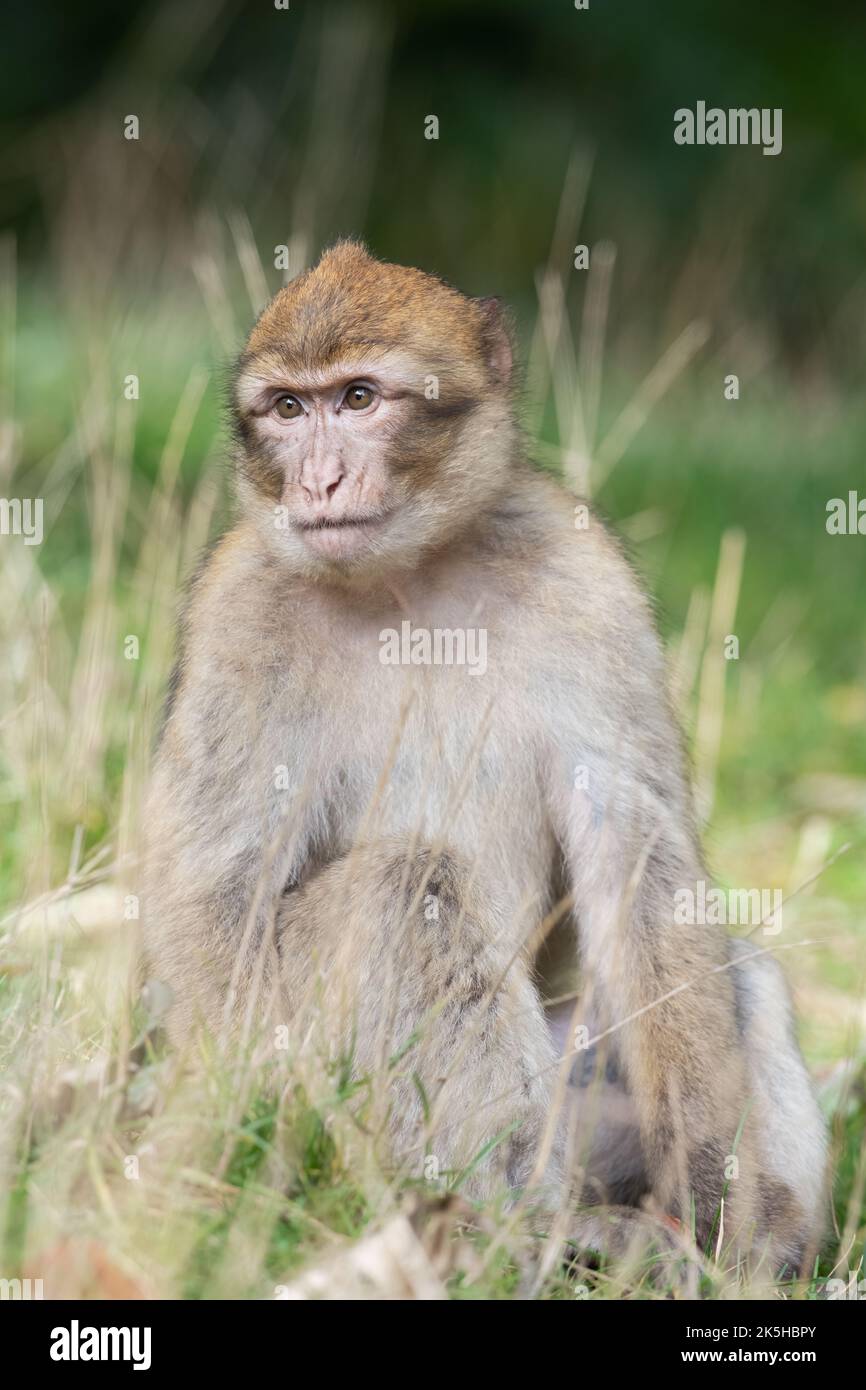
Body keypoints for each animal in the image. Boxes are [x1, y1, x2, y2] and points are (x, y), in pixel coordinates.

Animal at [143, 239, 826, 1273]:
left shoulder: (589, 583)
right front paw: (224, 1161)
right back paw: (515, 1229)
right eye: (288, 409)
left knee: (733, 965)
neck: (408, 576)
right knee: (405, 889)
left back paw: (735, 1240)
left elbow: (640, 859)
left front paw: (719, 1197)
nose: (318, 483)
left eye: (358, 398)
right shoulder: (238, 614)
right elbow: (222, 892)